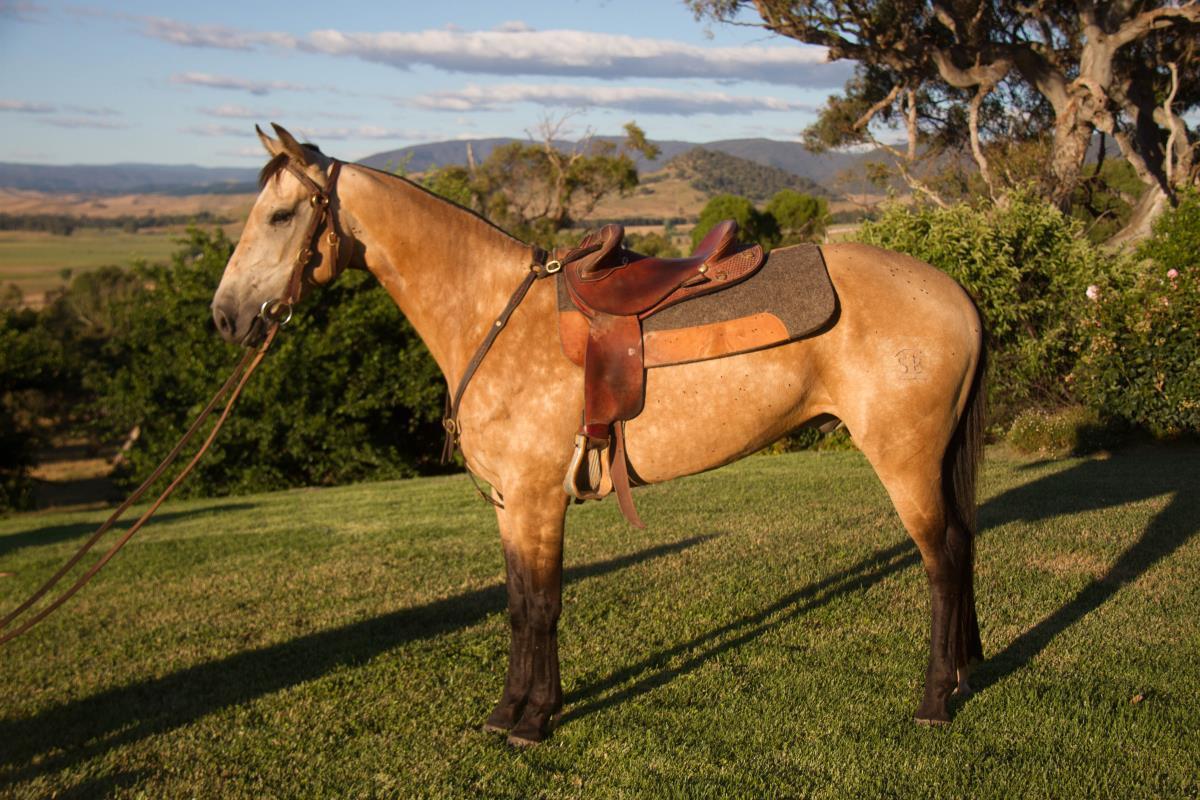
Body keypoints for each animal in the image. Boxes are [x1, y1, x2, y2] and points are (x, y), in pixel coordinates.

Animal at [211, 125, 986, 746]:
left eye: (281, 214)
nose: (226, 316)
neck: (490, 314)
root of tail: (955, 293)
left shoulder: (536, 498)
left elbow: (542, 605)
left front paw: (532, 721)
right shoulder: (510, 504)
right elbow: (518, 606)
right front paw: (511, 712)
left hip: (906, 461)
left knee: (942, 561)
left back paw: (932, 702)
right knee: (963, 547)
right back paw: (962, 676)